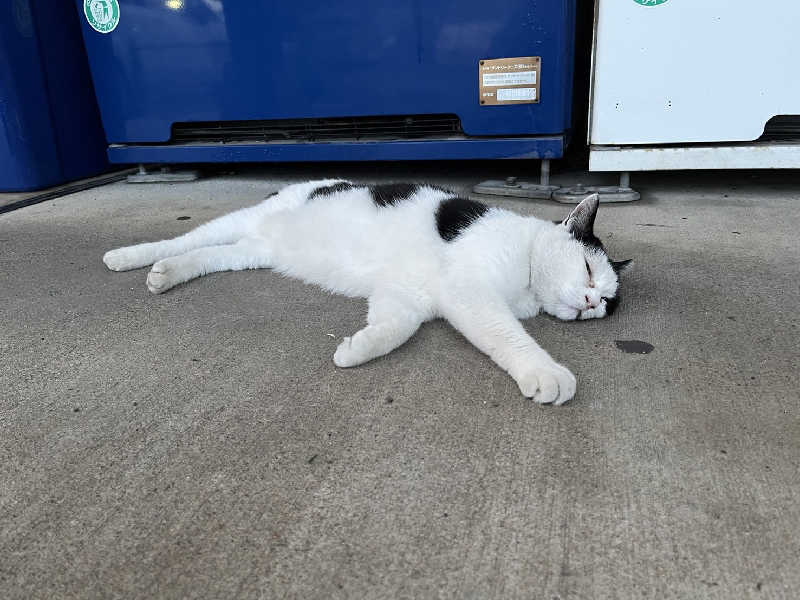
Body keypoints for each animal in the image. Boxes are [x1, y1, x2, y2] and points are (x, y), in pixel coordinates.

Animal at [103, 180, 632, 406]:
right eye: (588, 271)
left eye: (607, 302)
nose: (591, 303)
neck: (525, 270)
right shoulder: (469, 292)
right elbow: (509, 336)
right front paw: (545, 372)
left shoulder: (407, 296)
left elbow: (394, 328)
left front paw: (357, 349)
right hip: (242, 220)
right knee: (185, 239)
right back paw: (131, 257)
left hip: (253, 251)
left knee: (209, 254)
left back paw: (166, 273)